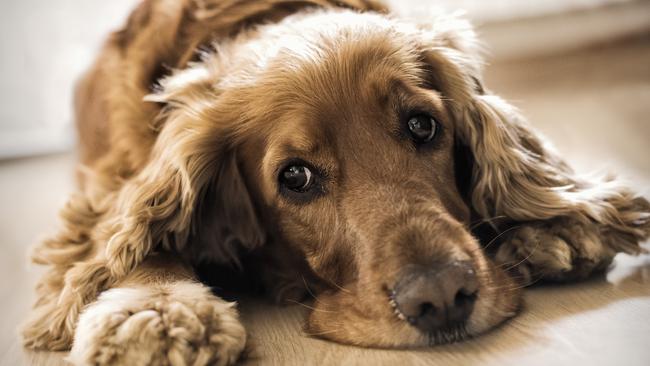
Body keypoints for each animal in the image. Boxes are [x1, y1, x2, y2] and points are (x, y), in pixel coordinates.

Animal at [21, 1, 648, 364]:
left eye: (423, 125)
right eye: (294, 177)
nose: (441, 296)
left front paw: (555, 226)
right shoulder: (105, 184)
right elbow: (129, 238)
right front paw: (155, 310)